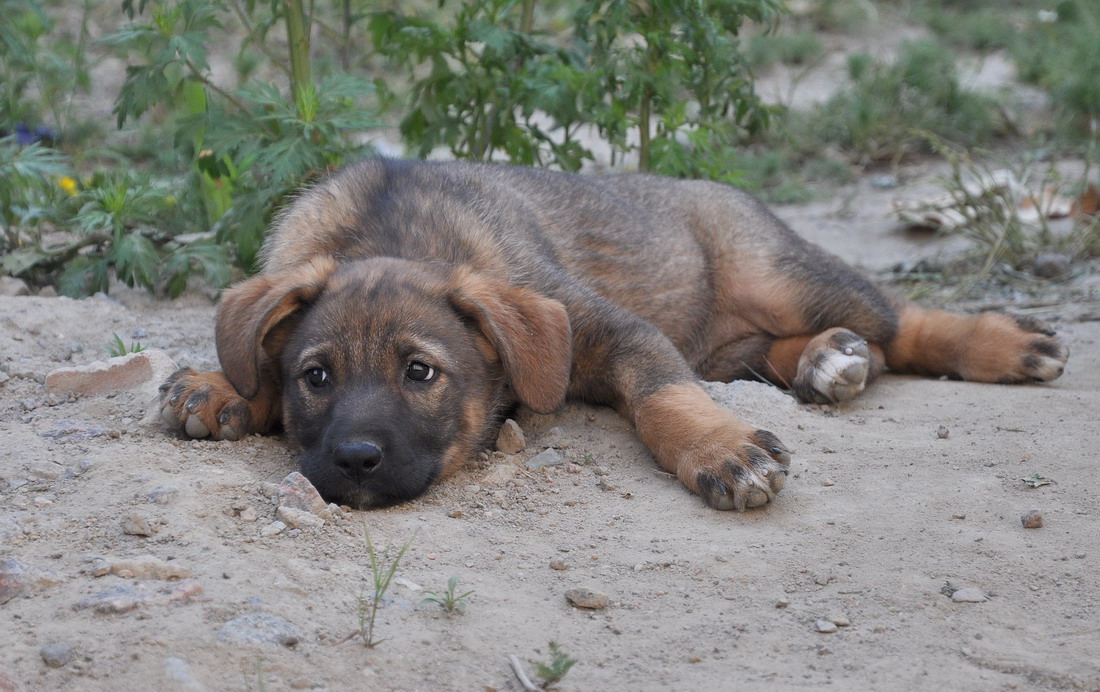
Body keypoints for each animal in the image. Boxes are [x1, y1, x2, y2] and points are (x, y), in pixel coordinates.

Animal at [159, 159, 1069, 510]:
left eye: (421, 373)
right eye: (315, 377)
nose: (353, 464)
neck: (383, 231)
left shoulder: (606, 326)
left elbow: (665, 397)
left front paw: (721, 450)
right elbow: (252, 357)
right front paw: (221, 387)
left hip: (779, 271)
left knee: (902, 320)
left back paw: (1001, 345)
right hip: (732, 337)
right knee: (797, 350)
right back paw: (825, 361)